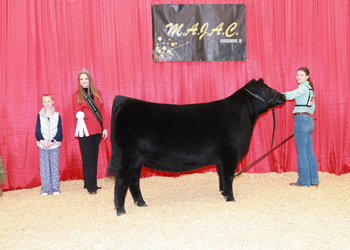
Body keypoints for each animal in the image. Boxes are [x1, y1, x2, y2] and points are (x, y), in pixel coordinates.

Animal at [108, 78, 286, 215]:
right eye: (267, 88)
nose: (283, 95)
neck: (243, 116)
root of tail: (126, 100)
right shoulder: (230, 156)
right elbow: (228, 178)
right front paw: (230, 198)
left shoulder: (221, 159)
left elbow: (222, 177)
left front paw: (223, 194)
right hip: (128, 157)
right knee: (121, 182)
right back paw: (121, 211)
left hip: (137, 160)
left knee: (134, 181)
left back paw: (141, 203)